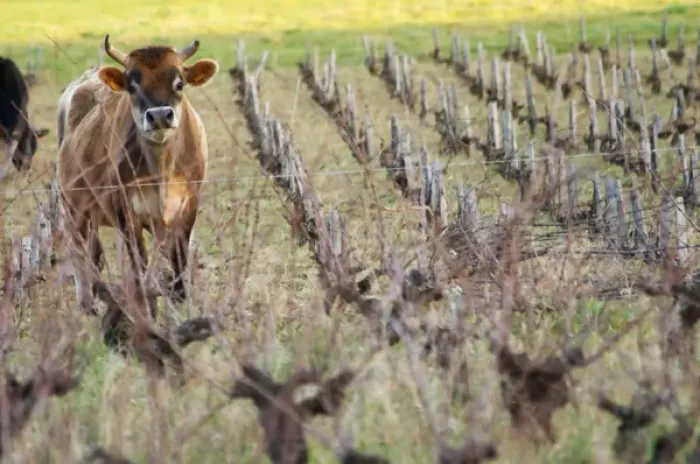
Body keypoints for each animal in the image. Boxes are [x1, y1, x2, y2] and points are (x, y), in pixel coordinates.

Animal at [56, 35, 218, 316]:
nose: (159, 115)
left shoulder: (187, 209)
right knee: (80, 254)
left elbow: (178, 265)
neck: (162, 169)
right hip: (73, 207)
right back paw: (87, 306)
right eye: (132, 86)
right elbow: (139, 266)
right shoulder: (126, 212)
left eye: (179, 83)